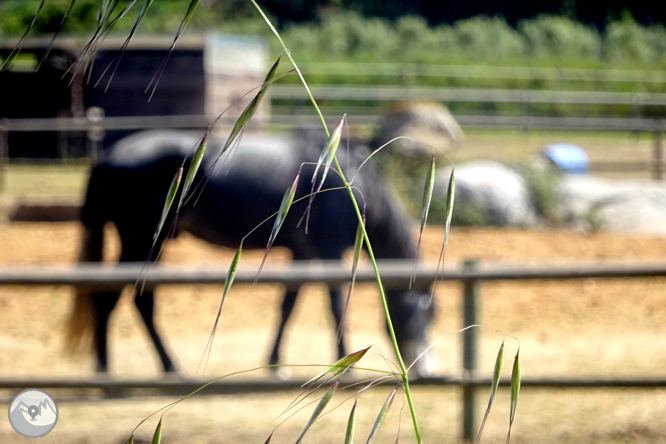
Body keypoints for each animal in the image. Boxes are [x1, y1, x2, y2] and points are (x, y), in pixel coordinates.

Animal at [65, 130, 434, 376]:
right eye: (423, 316)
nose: (427, 370)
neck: (348, 179)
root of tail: (106, 158)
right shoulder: (331, 252)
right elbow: (336, 306)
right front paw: (344, 363)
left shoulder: (302, 254)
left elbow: (287, 306)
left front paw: (275, 363)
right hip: (140, 242)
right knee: (117, 300)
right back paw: (123, 369)